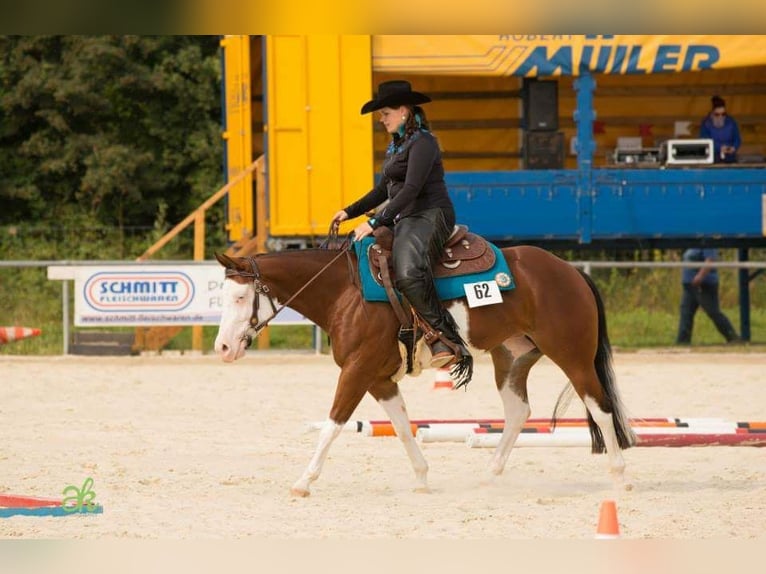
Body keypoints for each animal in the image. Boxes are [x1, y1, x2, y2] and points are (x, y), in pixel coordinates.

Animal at [213, 242, 636, 497]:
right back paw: (489, 475)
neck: (346, 293)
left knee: (600, 407)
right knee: (518, 412)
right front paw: (421, 477)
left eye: (240, 297)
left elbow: (333, 425)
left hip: (572, 356)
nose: (223, 348)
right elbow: (402, 426)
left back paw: (619, 476)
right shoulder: (378, 378)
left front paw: (303, 481)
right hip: (511, 359)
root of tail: (570, 271)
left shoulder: (356, 371)